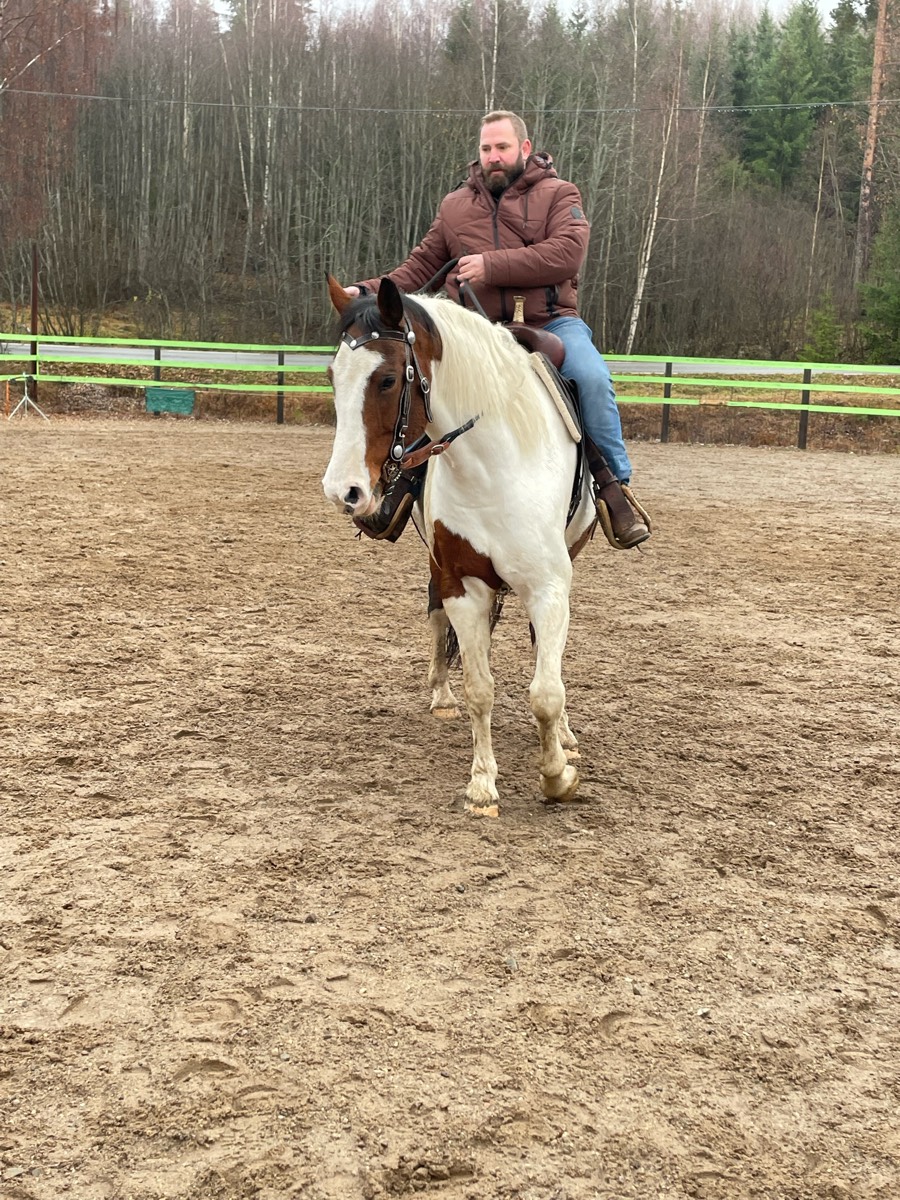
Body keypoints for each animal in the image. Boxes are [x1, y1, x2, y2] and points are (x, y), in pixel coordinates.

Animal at [322, 275, 598, 816]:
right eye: (332, 376)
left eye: (387, 379)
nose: (344, 491)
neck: (494, 466)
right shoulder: (460, 585)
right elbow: (479, 688)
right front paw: (482, 784)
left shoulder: (548, 588)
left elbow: (545, 692)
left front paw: (557, 774)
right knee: (438, 625)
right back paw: (442, 694)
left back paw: (565, 736)